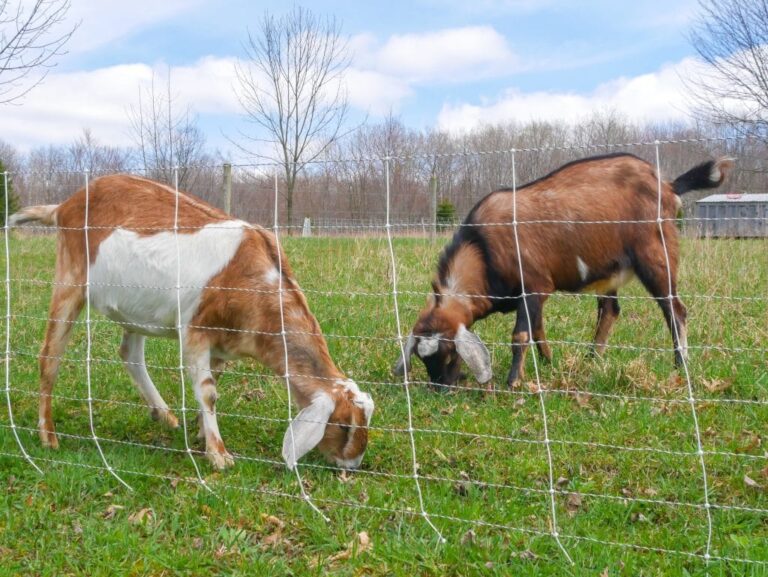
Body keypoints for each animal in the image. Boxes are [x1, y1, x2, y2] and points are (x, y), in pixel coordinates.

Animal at [10, 175, 374, 470]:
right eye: (343, 425)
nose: (352, 465)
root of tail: (64, 205)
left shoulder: (222, 344)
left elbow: (212, 384)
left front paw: (201, 433)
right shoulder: (195, 331)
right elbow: (209, 392)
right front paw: (219, 455)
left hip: (136, 308)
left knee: (130, 353)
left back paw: (164, 414)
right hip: (70, 280)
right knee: (50, 355)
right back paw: (48, 436)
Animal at [394, 153, 733, 389]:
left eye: (450, 352)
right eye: (422, 358)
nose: (440, 386)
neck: (482, 249)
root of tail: (667, 185)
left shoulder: (533, 286)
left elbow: (520, 335)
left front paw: (513, 381)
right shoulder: (532, 295)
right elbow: (538, 330)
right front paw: (548, 362)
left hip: (656, 254)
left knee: (674, 308)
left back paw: (680, 364)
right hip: (609, 270)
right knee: (610, 310)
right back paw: (592, 358)